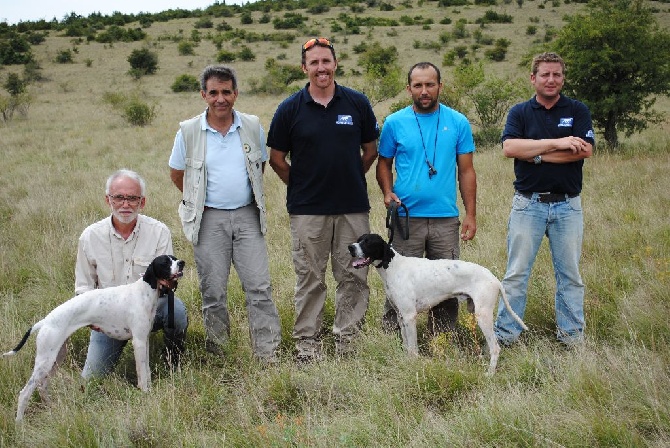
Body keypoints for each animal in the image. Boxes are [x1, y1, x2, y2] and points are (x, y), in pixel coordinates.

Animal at [3, 254, 186, 422]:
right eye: (165, 262)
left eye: (174, 258)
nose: (182, 263)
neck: (144, 292)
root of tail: (44, 321)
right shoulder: (139, 342)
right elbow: (142, 374)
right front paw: (145, 394)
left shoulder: (144, 341)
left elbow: (146, 371)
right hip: (45, 360)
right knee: (24, 393)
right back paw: (19, 423)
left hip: (55, 358)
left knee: (42, 386)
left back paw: (51, 408)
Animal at [350, 233, 528, 376]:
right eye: (358, 240)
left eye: (368, 242)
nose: (350, 247)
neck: (394, 267)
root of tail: (494, 279)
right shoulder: (401, 317)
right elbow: (407, 345)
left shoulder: (409, 317)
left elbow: (413, 348)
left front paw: (413, 366)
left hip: (483, 316)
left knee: (495, 348)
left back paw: (490, 374)